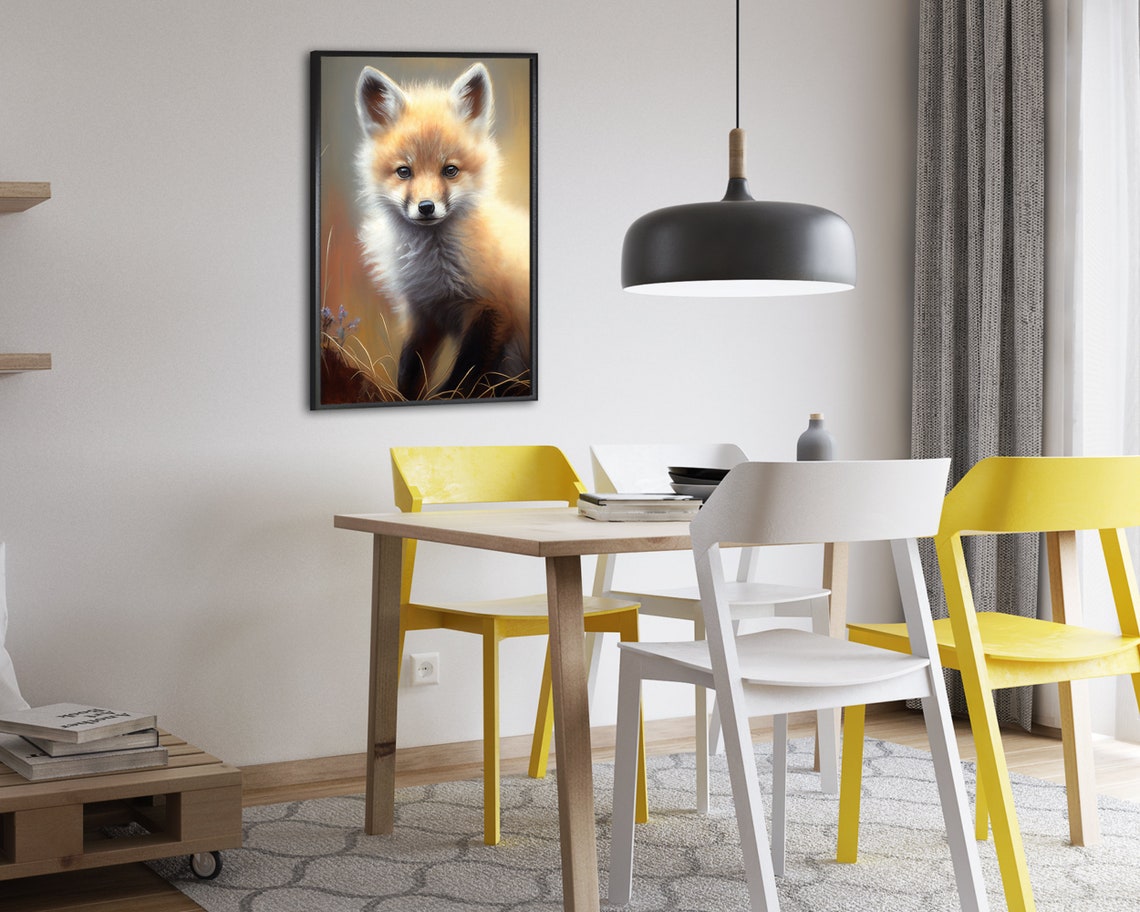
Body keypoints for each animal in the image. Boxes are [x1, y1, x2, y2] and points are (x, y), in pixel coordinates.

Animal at [354, 62, 531, 400]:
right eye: (404, 172)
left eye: (450, 170)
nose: (426, 207)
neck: (434, 268)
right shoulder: (421, 313)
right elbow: (410, 370)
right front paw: (405, 398)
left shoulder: (491, 307)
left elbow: (465, 376)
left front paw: (447, 395)